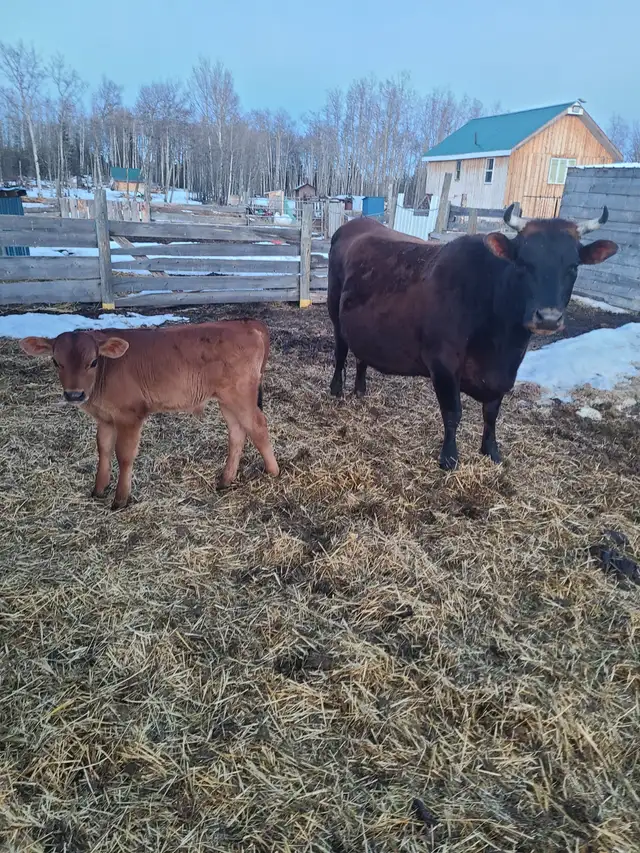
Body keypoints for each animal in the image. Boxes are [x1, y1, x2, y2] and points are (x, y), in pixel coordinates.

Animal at [20, 320, 280, 509]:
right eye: (56, 361)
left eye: (93, 362)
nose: (74, 394)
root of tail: (247, 324)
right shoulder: (105, 418)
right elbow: (103, 449)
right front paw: (98, 489)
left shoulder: (130, 416)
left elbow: (124, 455)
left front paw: (120, 499)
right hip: (227, 400)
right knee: (237, 433)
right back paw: (225, 480)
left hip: (240, 396)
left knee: (258, 426)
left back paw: (273, 471)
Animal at [328, 206, 618, 470]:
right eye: (523, 264)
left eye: (573, 266)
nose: (548, 317)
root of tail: (356, 223)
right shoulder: (443, 363)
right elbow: (453, 412)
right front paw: (449, 458)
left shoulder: (504, 373)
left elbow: (491, 414)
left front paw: (491, 452)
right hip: (335, 312)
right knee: (341, 351)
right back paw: (336, 389)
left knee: (361, 356)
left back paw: (361, 390)